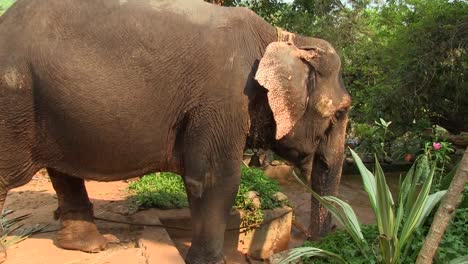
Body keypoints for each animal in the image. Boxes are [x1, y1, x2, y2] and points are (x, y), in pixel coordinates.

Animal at [0, 0, 352, 262]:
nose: (322, 245)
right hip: (14, 101)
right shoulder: (224, 98)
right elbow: (214, 179)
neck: (282, 37)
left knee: (64, 171)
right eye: (341, 111)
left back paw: (89, 247)